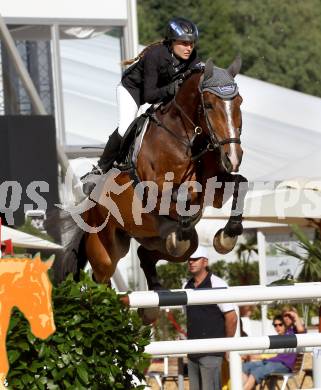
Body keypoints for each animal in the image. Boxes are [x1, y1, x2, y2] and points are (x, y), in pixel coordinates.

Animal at [57, 58, 248, 318]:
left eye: (239, 103)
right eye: (208, 105)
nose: (233, 157)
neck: (186, 139)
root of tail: (89, 209)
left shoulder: (215, 186)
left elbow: (240, 184)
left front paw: (227, 235)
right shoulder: (154, 191)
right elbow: (181, 194)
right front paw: (191, 225)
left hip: (158, 240)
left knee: (151, 253)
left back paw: (153, 301)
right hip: (104, 249)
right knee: (101, 278)